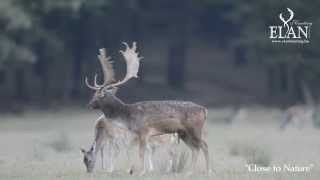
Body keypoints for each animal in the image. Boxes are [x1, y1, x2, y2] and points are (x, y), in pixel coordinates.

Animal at [85, 41, 210, 174]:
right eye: (93, 95)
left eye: (98, 96)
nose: (89, 105)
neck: (128, 117)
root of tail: (204, 110)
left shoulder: (143, 132)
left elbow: (141, 153)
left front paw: (141, 172)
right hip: (182, 133)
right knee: (195, 148)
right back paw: (190, 172)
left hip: (194, 128)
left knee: (203, 145)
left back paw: (208, 171)